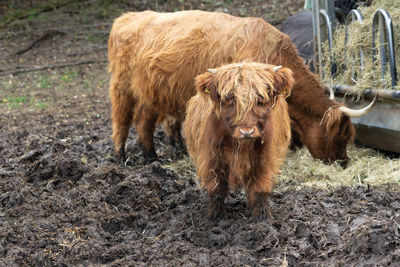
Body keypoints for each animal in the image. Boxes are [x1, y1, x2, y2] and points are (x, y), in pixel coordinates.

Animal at [108, 9, 374, 165]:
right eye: (341, 136)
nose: (344, 162)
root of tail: (127, 17)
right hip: (122, 88)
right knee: (124, 120)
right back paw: (124, 156)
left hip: (154, 93)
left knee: (144, 119)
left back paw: (157, 155)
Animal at [184, 62, 294, 220]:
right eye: (230, 98)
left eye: (260, 99)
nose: (246, 132)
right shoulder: (212, 158)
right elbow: (217, 189)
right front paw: (214, 217)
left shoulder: (264, 159)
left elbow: (259, 188)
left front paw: (263, 217)